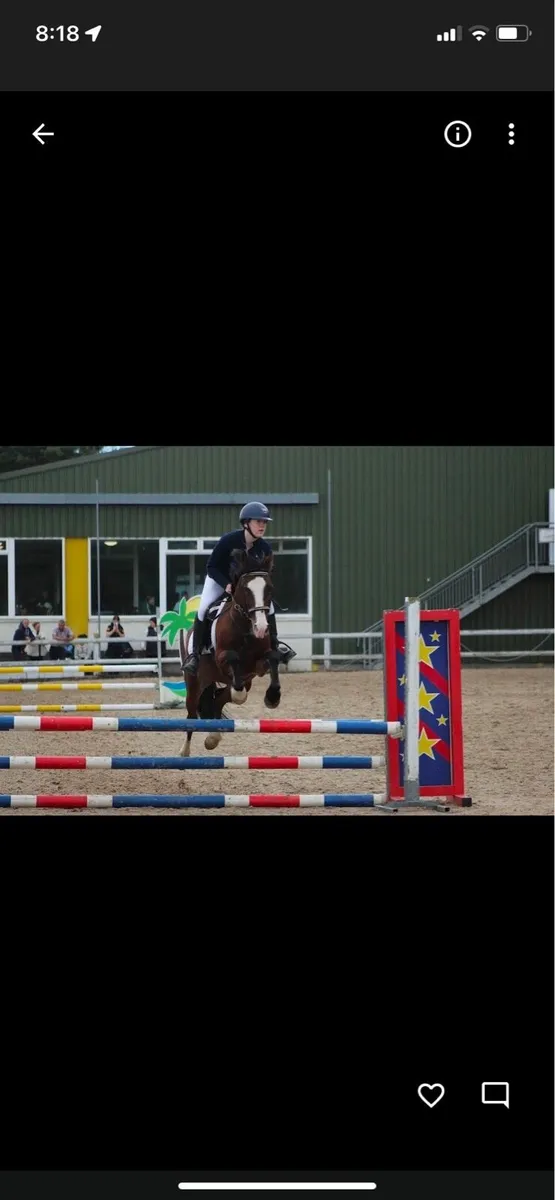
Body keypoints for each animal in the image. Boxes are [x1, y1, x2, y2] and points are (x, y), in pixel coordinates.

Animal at [178, 548, 282, 758]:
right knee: (192, 713)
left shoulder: (257, 665)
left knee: (217, 700)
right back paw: (185, 751)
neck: (244, 628)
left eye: (270, 589)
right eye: (245, 590)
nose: (261, 628)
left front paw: (273, 697)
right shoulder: (222, 658)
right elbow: (233, 663)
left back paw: (212, 738)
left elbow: (272, 659)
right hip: (194, 682)